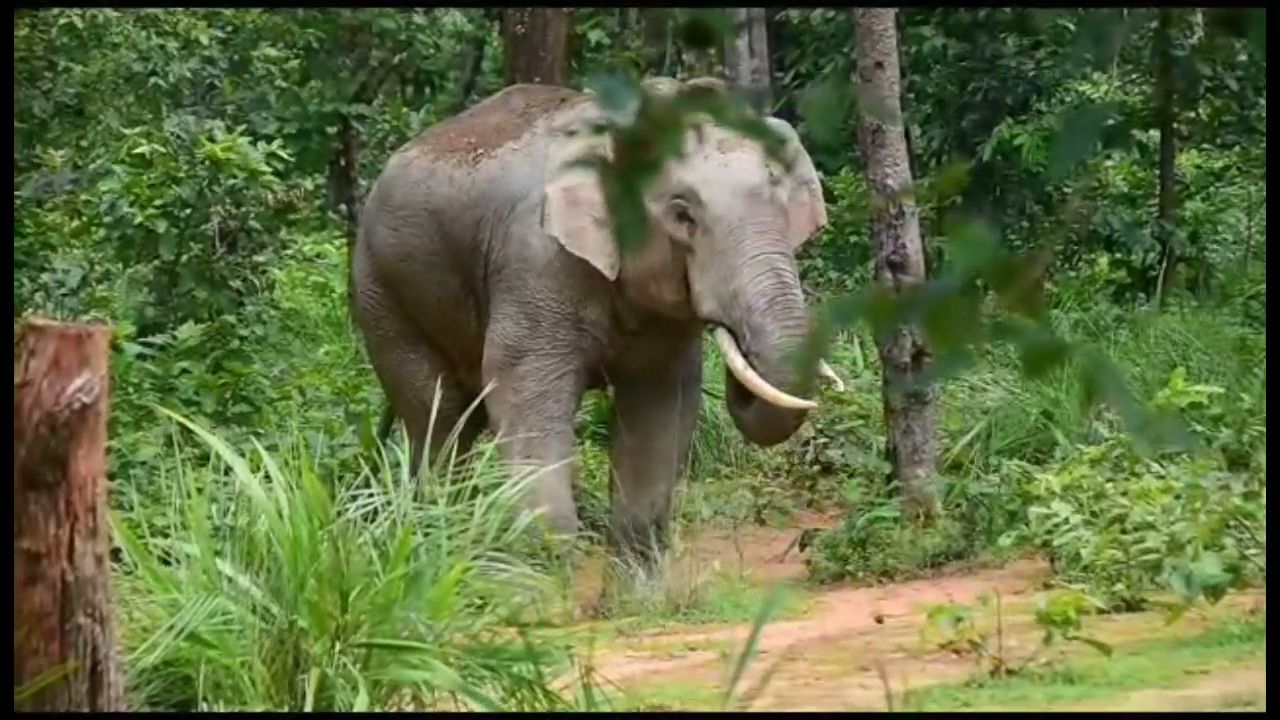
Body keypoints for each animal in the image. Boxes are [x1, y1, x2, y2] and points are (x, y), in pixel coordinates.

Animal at [351, 77, 837, 563]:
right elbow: (523, 395)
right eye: (683, 215)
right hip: (382, 291)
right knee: (440, 415)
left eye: (785, 206)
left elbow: (661, 406)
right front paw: (551, 569)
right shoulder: (537, 263)